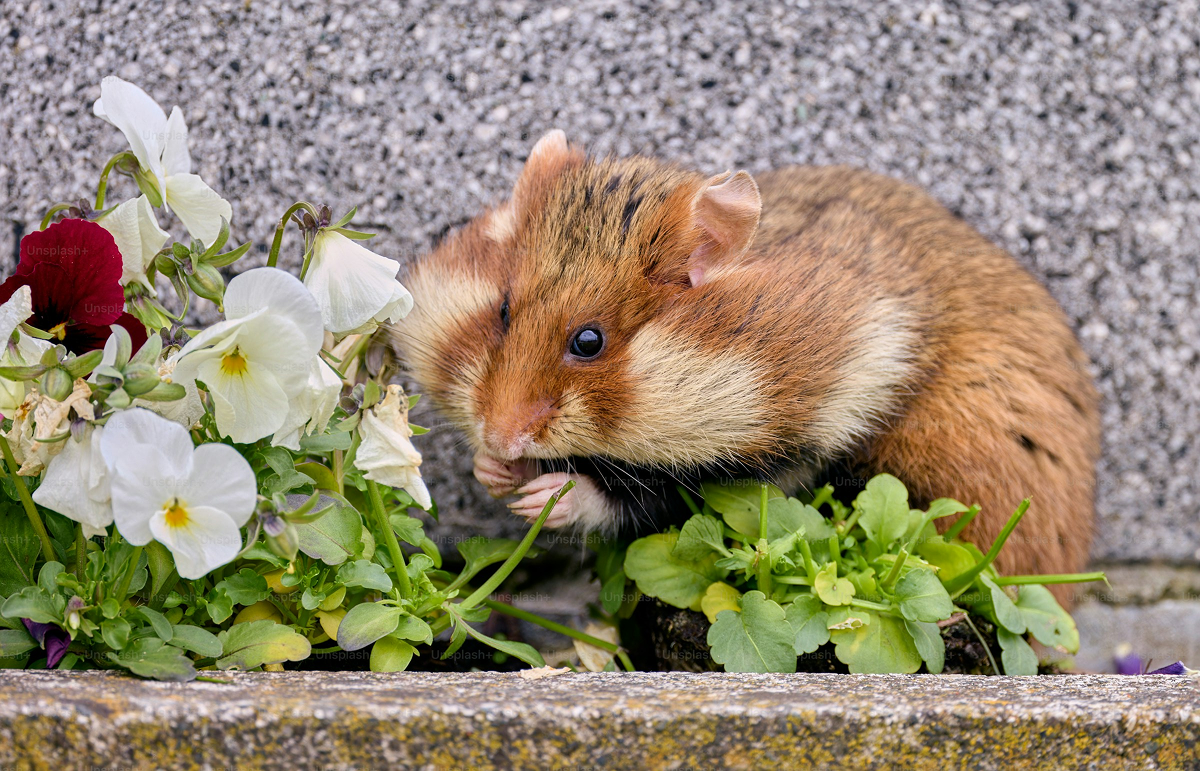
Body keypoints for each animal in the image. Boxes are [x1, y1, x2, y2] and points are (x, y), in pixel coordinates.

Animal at [391, 130, 1101, 595]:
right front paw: (494, 474)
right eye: (503, 310)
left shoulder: (813, 429)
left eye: (589, 341)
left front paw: (547, 494)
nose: (499, 436)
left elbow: (660, 496)